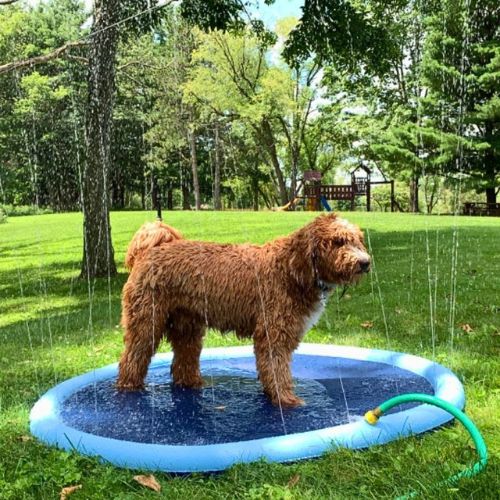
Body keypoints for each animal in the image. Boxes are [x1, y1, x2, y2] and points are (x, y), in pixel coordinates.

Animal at [116, 214, 368, 406]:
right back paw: (129, 388)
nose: (365, 262)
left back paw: (194, 384)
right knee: (132, 358)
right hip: (146, 320)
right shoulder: (273, 333)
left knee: (183, 362)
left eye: (357, 240)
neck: (291, 269)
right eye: (338, 241)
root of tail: (151, 249)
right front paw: (287, 400)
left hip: (187, 325)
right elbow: (277, 369)